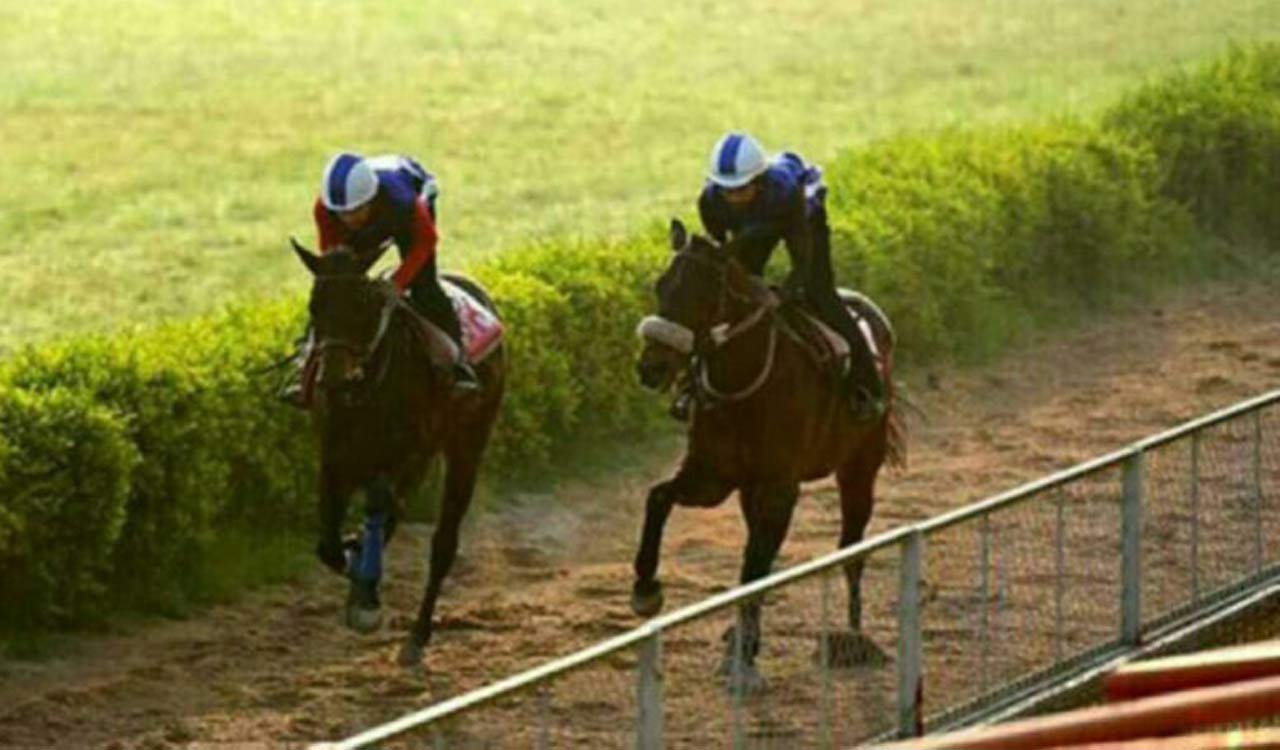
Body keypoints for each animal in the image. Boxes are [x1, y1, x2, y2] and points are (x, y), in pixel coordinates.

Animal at [291, 240, 506, 667]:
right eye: (314, 304)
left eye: (361, 304)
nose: (334, 379)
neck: (366, 393)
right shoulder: (334, 456)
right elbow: (328, 546)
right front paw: (355, 565)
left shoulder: (409, 453)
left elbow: (380, 508)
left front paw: (365, 592)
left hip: (467, 445)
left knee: (442, 543)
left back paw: (418, 634)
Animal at [631, 219, 904, 690]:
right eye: (661, 284)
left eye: (702, 294)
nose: (652, 367)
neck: (744, 383)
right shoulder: (712, 476)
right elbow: (659, 497)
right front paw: (646, 587)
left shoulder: (780, 486)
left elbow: (753, 569)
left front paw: (744, 658)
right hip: (749, 488)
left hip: (858, 468)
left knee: (852, 548)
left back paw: (851, 636)